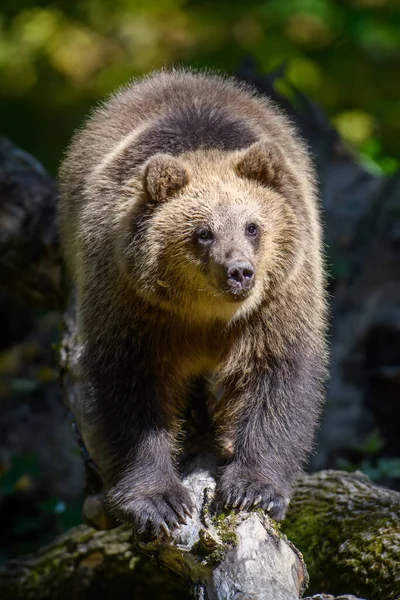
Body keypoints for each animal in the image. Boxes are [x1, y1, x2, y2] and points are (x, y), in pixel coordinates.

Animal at [59, 68, 328, 536]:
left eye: (253, 225)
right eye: (203, 232)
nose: (239, 271)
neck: (206, 314)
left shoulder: (280, 299)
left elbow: (279, 377)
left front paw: (253, 488)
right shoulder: (131, 302)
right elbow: (131, 393)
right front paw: (158, 501)